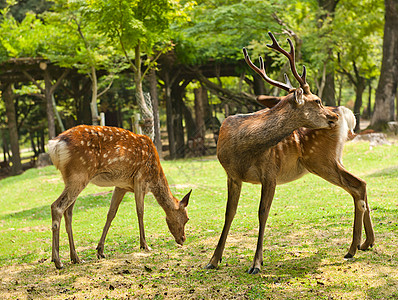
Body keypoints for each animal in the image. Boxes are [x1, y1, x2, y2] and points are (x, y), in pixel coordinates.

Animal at [48, 125, 191, 268]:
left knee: (68, 213)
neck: (154, 177)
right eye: (186, 218)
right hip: (79, 174)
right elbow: (140, 212)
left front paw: (100, 250)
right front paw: (145, 245)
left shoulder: (121, 186)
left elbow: (111, 213)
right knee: (57, 206)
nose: (183, 239)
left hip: (70, 178)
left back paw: (75, 258)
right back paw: (58, 261)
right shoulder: (140, 180)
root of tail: (55, 144)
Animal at [204, 32, 374, 274]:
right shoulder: (232, 175)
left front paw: (256, 264)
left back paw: (353, 248)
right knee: (360, 185)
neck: (242, 149)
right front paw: (213, 260)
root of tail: (346, 113)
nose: (333, 116)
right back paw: (365, 243)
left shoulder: (270, 171)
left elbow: (262, 213)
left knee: (358, 185)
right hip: (330, 159)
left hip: (321, 159)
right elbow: (229, 213)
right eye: (317, 101)